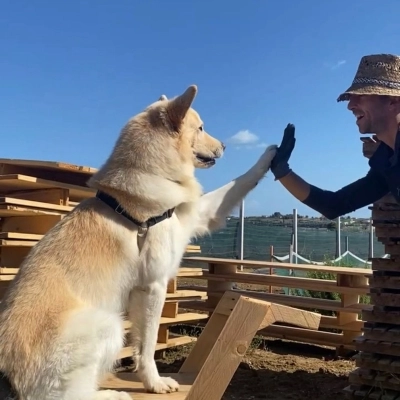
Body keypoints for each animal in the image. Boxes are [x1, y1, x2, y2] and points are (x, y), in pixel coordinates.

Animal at [0, 85, 276, 400]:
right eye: (201, 128)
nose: (227, 146)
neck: (150, 176)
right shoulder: (152, 287)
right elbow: (147, 346)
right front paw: (154, 383)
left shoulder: (194, 216)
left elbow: (238, 182)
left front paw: (270, 155)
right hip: (108, 324)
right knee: (63, 396)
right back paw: (113, 394)